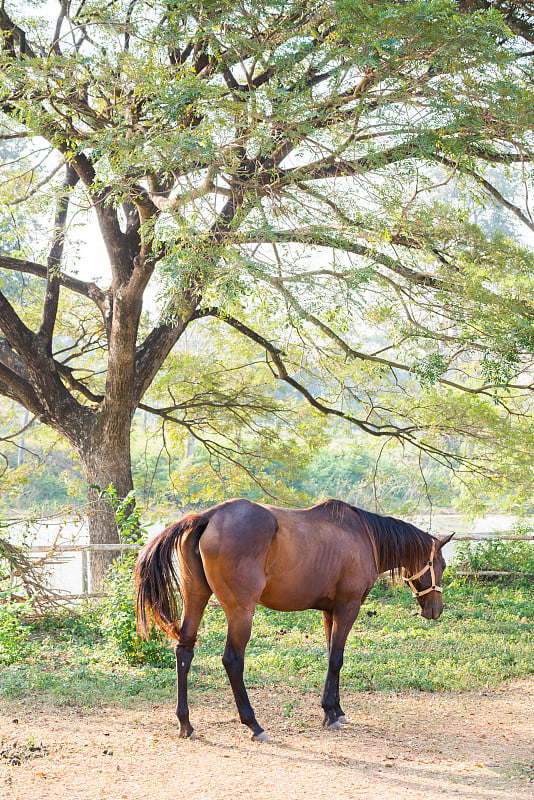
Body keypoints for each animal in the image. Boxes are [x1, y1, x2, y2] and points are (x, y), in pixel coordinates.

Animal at [134, 496, 452, 740]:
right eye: (442, 564)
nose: (435, 609)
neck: (364, 535)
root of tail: (208, 517)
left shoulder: (329, 611)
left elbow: (331, 656)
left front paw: (334, 710)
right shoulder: (347, 608)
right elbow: (337, 658)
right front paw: (331, 713)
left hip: (196, 598)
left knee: (184, 651)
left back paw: (185, 723)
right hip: (241, 610)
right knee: (233, 660)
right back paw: (254, 725)